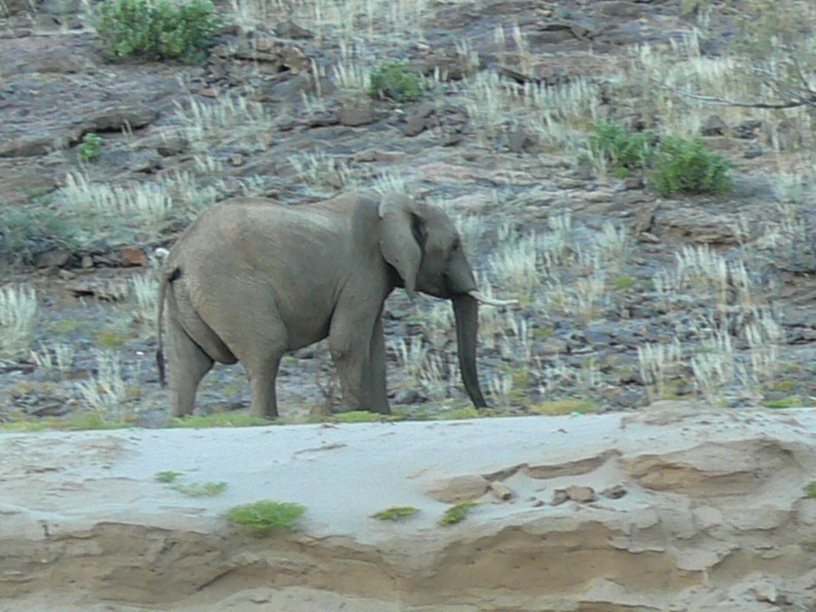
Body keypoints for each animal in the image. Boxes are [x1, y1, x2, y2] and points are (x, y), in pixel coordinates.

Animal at [156, 191, 515, 418]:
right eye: (454, 246)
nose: (486, 410)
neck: (396, 203)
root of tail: (176, 258)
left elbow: (374, 348)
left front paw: (382, 416)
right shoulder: (363, 270)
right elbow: (347, 344)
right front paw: (356, 413)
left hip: (186, 300)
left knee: (187, 366)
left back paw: (180, 422)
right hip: (231, 289)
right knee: (267, 348)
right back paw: (265, 421)